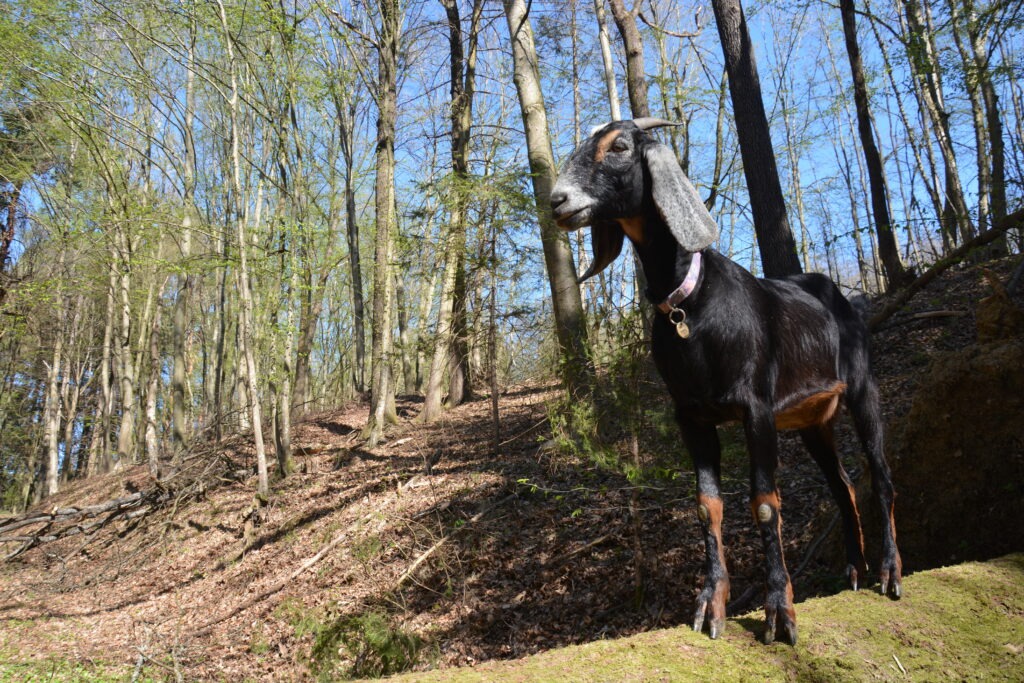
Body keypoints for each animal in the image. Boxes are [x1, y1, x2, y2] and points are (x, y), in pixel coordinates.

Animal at [549, 118, 902, 645]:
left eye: (620, 145)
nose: (558, 200)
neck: (688, 304)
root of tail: (843, 296)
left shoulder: (756, 409)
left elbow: (765, 504)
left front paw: (779, 611)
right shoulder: (692, 416)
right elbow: (705, 506)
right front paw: (710, 605)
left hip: (863, 390)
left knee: (880, 476)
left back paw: (889, 573)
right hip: (813, 422)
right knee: (842, 485)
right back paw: (854, 571)